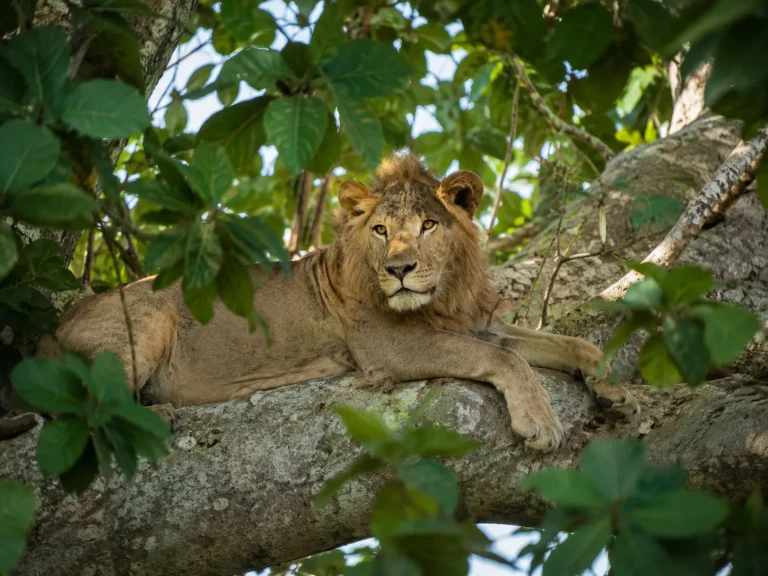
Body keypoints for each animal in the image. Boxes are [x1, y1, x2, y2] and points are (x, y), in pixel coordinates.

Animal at [44, 152, 637, 452]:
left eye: (427, 225)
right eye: (380, 230)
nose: (399, 270)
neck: (447, 295)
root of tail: (53, 328)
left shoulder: (479, 324)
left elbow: (572, 343)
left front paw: (613, 390)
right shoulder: (387, 350)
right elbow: (506, 358)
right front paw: (540, 422)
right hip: (144, 318)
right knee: (72, 404)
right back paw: (155, 412)